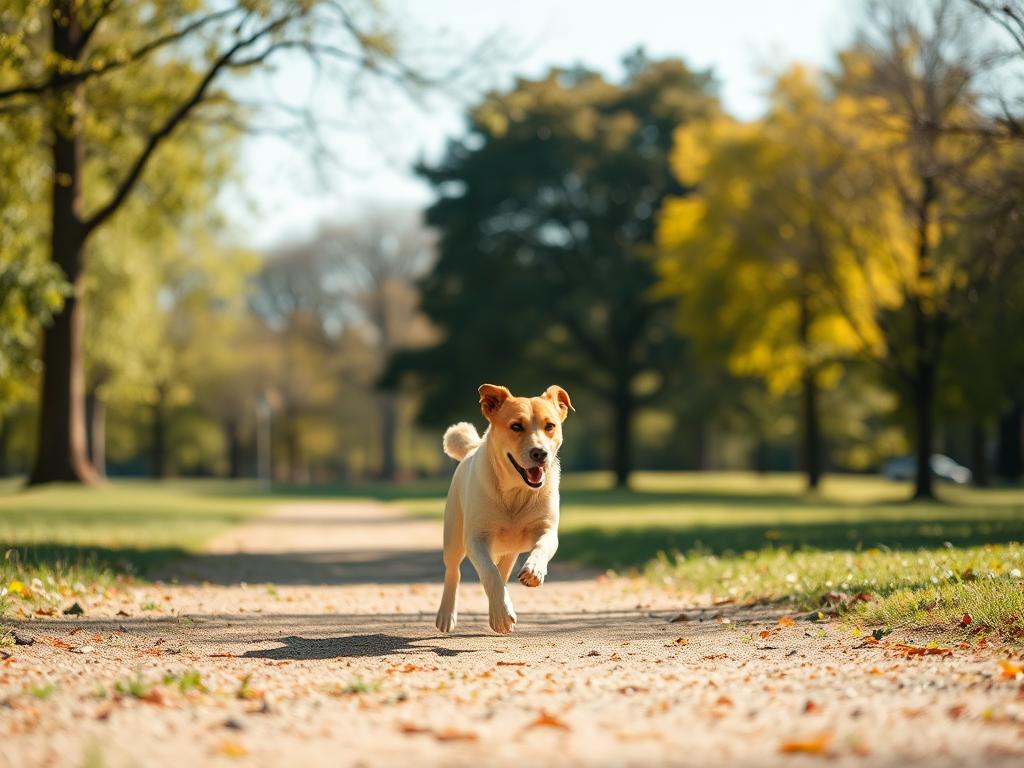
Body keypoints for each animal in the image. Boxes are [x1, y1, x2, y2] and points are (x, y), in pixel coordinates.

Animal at [434, 385, 573, 638]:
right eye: (516, 426)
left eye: (550, 426)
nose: (540, 453)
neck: (516, 493)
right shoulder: (476, 538)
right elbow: (490, 573)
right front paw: (501, 615)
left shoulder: (547, 529)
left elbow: (542, 546)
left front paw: (533, 571)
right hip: (453, 537)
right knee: (454, 572)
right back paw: (447, 616)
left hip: (510, 551)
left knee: (503, 571)